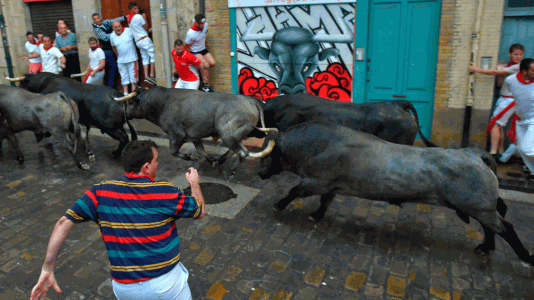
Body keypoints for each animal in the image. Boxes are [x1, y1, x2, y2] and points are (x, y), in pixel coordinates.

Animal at [6, 72, 138, 158]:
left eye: (22, 84)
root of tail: (119, 96)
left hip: (111, 128)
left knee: (124, 138)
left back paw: (116, 153)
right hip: (117, 126)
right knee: (125, 137)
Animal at [115, 86, 278, 177]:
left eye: (131, 102)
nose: (124, 113)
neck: (163, 104)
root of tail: (251, 100)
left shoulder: (176, 135)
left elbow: (174, 151)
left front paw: (190, 157)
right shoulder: (194, 136)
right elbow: (201, 150)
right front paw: (211, 160)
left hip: (227, 133)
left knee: (242, 152)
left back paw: (230, 170)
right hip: (234, 135)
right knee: (239, 150)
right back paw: (220, 160)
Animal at [258, 123, 532, 266]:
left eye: (267, 155)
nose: (260, 172)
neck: (315, 144)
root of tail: (475, 154)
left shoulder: (315, 181)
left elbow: (293, 191)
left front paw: (278, 204)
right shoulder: (330, 185)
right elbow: (326, 201)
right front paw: (316, 215)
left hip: (480, 206)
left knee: (506, 227)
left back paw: (525, 256)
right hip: (480, 208)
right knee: (492, 225)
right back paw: (486, 247)